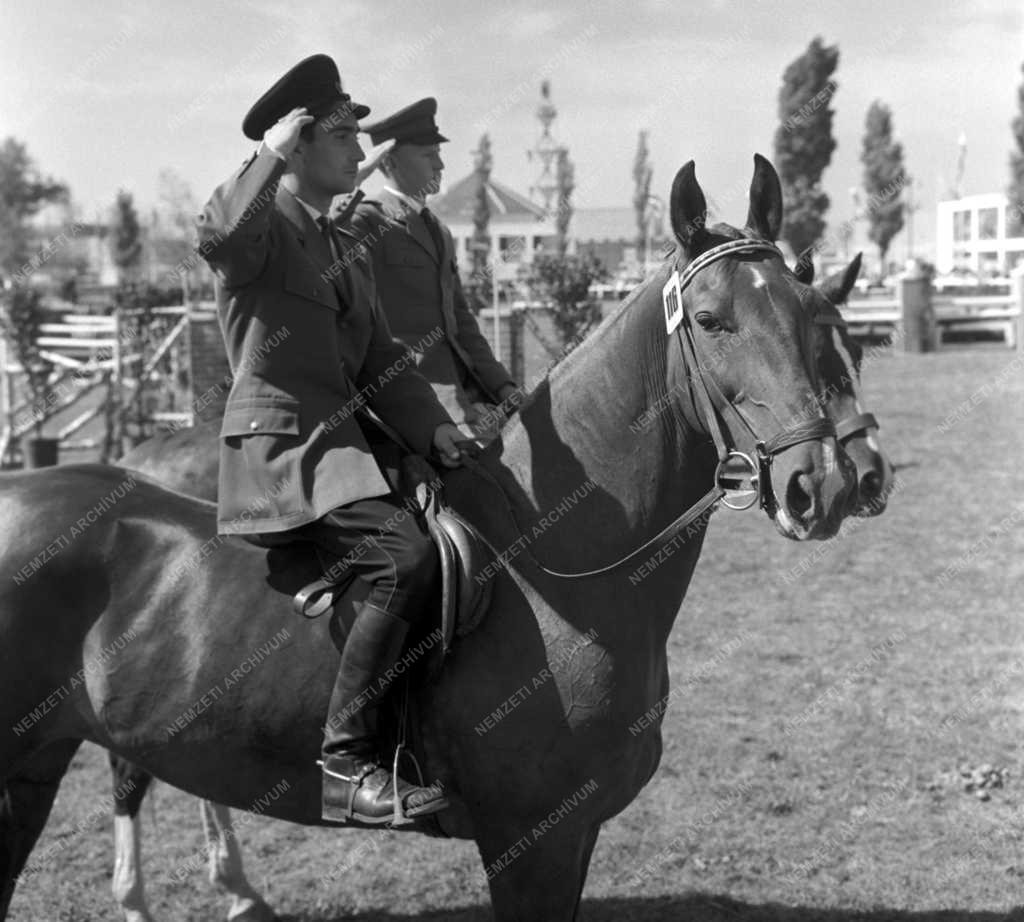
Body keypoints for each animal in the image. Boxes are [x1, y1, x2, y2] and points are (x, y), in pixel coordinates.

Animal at [0, 154, 856, 917]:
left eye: (814, 318)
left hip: (40, 764)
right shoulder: (532, 843)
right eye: (711, 322)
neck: (553, 571)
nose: (825, 481)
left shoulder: (572, 838)